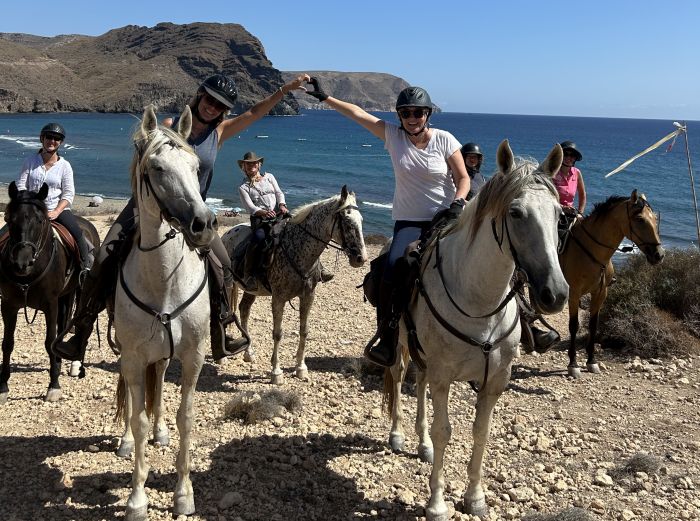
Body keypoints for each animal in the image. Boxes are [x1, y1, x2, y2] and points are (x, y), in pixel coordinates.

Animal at [0, 181, 100, 404]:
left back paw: (75, 365)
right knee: (64, 325)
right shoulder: (8, 305)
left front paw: (54, 385)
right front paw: (3, 387)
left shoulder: (50, 304)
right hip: (66, 295)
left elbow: (49, 341)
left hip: (78, 291)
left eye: (40, 220)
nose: (22, 263)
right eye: (9, 219)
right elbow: (7, 343)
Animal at [223, 186, 366, 382]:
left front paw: (300, 367)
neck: (297, 249)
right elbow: (278, 333)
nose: (361, 258)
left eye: (361, 221)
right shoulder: (278, 298)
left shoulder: (308, 296)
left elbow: (304, 330)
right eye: (347, 221)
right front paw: (276, 372)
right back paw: (222, 357)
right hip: (227, 284)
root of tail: (227, 233)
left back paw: (249, 353)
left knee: (244, 311)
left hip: (250, 290)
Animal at [382, 140, 568, 516]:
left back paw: (422, 444)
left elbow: (481, 432)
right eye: (516, 213)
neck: (479, 300)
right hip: (402, 346)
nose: (555, 293)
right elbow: (444, 431)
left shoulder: (495, 380)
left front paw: (475, 498)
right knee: (399, 374)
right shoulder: (443, 376)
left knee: (418, 384)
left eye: (559, 214)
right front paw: (437, 504)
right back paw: (398, 435)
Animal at [556, 189, 660, 376]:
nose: (659, 255)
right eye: (640, 219)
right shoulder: (573, 293)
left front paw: (591, 361)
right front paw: (573, 364)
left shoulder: (600, 293)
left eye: (655, 218)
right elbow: (574, 326)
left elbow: (593, 325)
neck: (592, 251)